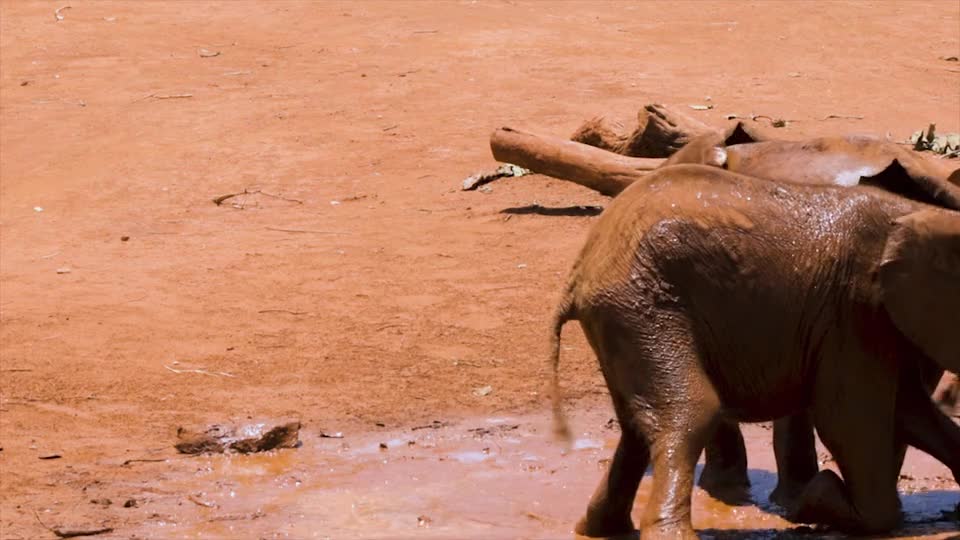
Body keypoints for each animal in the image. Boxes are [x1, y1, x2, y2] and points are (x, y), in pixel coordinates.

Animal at [548, 163, 960, 536]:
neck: (919, 213)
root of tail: (580, 269)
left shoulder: (879, 321)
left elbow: (911, 410)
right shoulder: (855, 309)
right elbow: (848, 420)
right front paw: (814, 501)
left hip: (622, 318)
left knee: (636, 426)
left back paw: (597, 528)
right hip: (644, 306)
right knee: (690, 412)